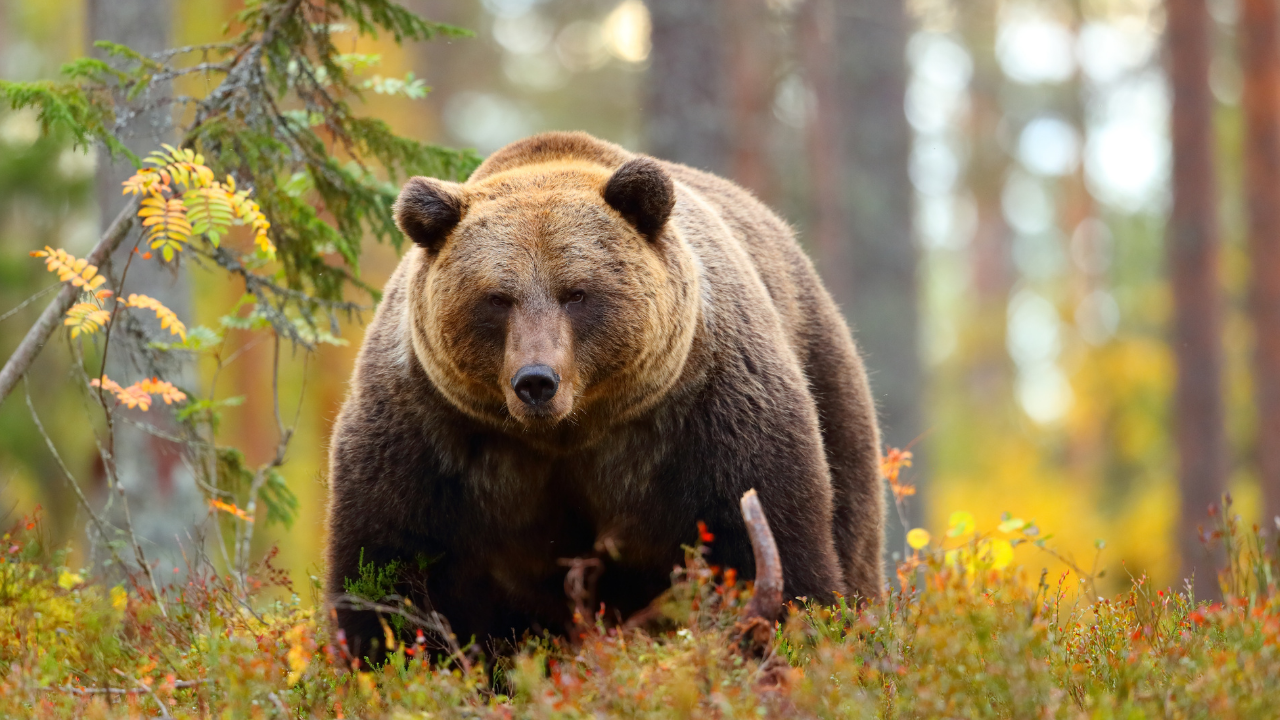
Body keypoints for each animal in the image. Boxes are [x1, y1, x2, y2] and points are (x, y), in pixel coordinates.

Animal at [325, 131, 884, 663]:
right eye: (497, 298)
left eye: (576, 292)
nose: (536, 380)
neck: (569, 432)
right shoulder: (430, 435)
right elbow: (386, 568)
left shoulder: (708, 414)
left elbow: (772, 546)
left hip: (828, 380)